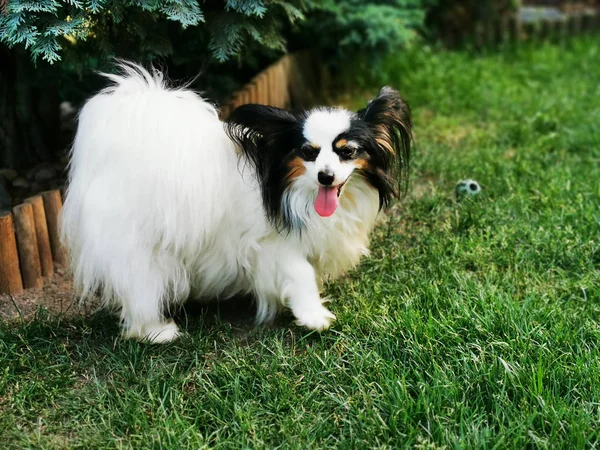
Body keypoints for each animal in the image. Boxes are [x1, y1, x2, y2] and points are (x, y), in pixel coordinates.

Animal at [61, 61, 412, 342]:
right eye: (307, 152)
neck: (290, 189)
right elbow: (301, 274)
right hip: (141, 247)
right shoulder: (270, 244)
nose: (325, 176)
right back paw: (155, 331)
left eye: (347, 151)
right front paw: (313, 316)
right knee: (139, 285)